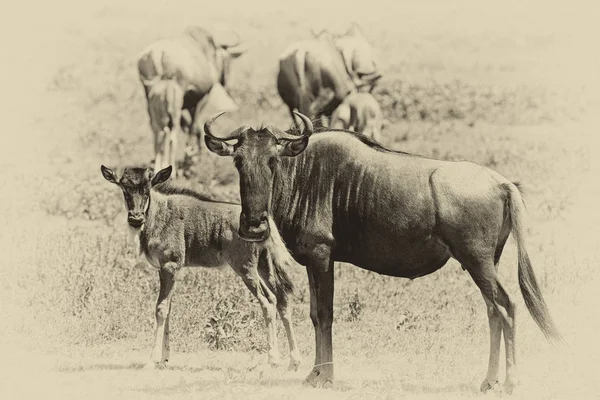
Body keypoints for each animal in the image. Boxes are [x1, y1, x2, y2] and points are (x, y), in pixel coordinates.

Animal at [101, 164, 304, 370]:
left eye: (146, 189)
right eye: (124, 189)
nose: (135, 218)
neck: (158, 214)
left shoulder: (170, 266)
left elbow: (161, 309)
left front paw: (152, 361)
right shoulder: (165, 270)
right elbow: (168, 309)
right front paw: (164, 359)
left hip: (245, 268)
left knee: (267, 301)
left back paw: (273, 359)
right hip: (264, 266)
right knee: (281, 299)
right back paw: (294, 361)